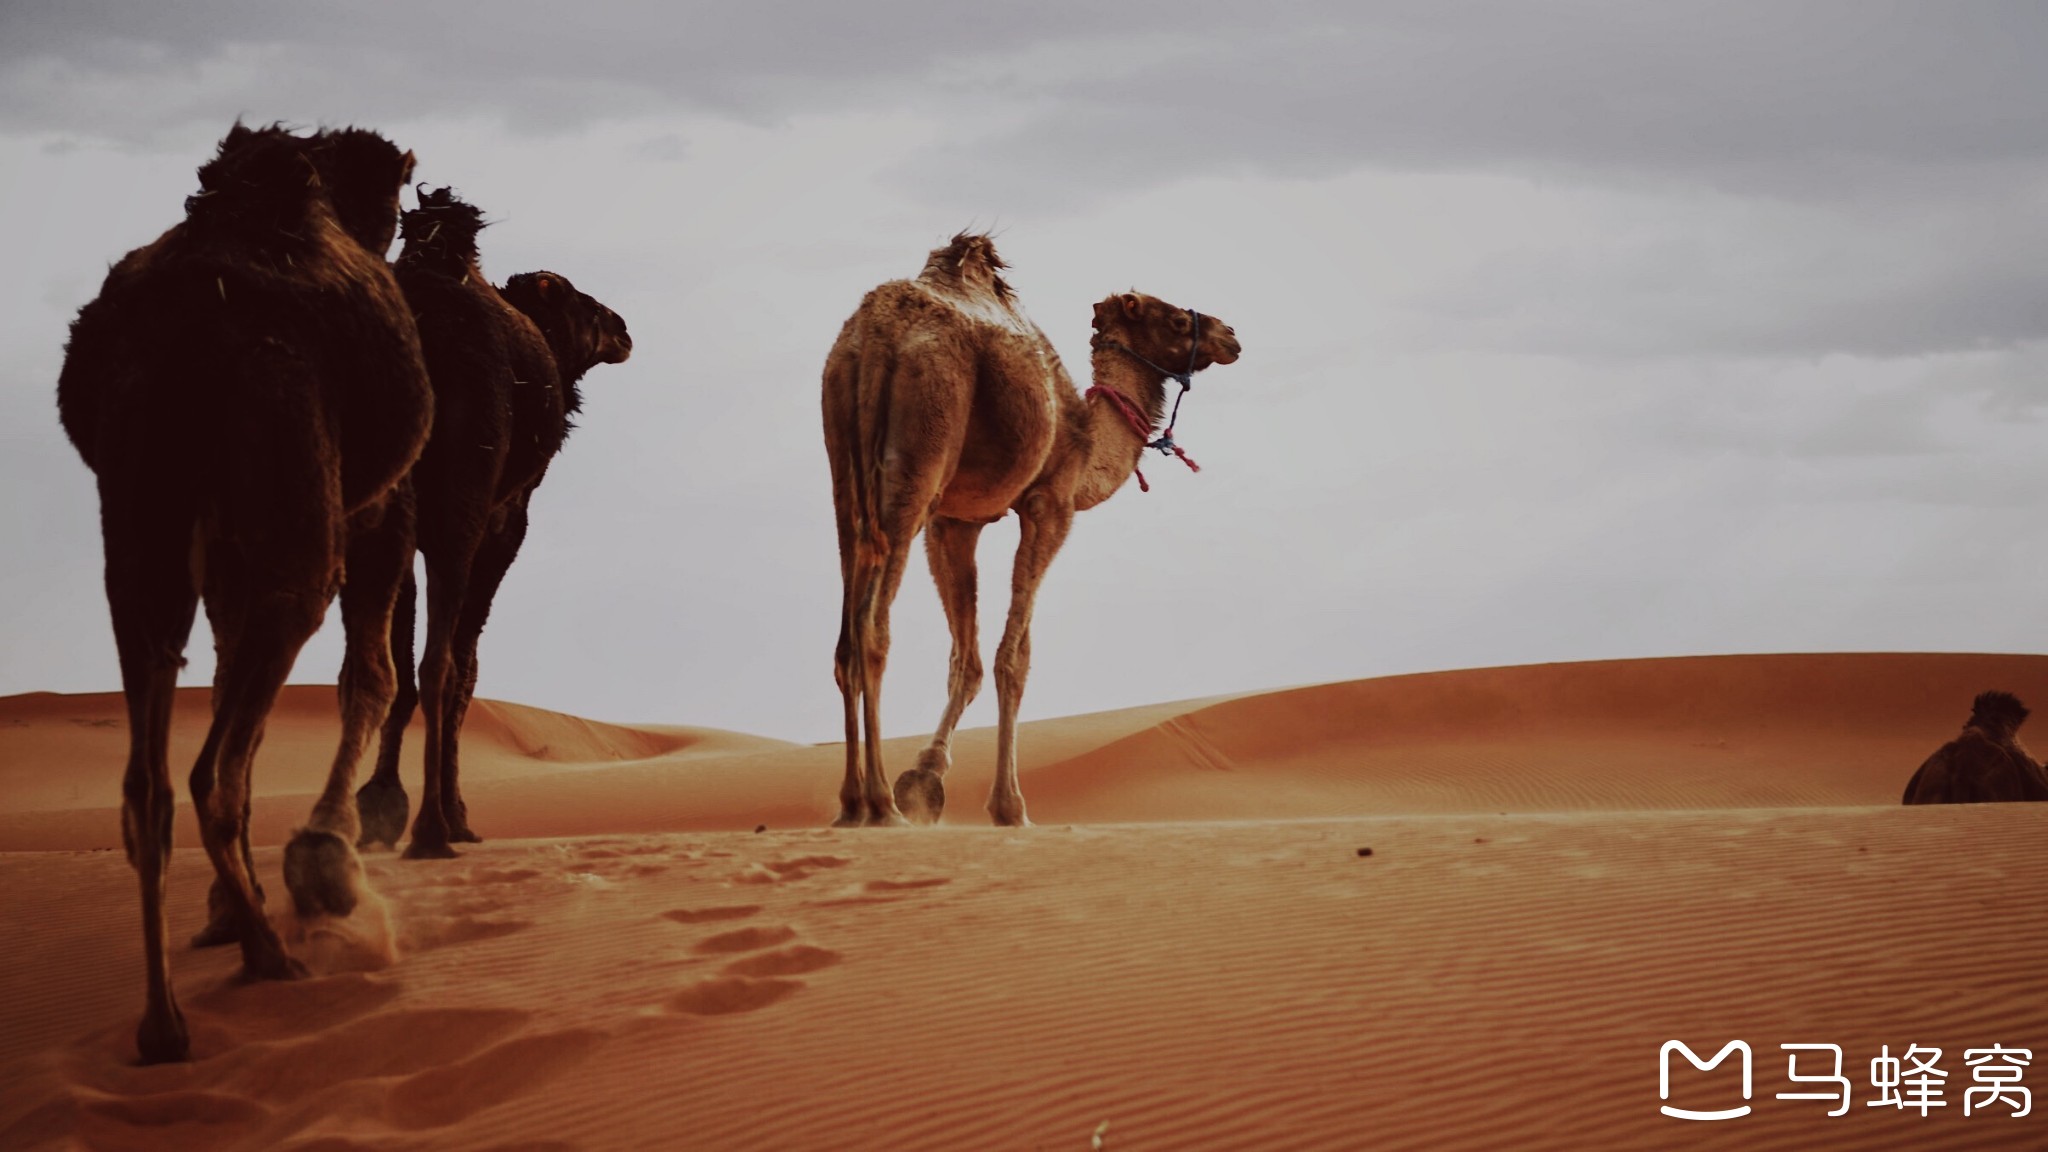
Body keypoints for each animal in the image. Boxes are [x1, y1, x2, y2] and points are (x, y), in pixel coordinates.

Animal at [58, 123, 430, 1057]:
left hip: (139, 527)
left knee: (148, 783)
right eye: (394, 209)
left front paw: (235, 903)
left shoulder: (224, 557)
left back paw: (165, 1022)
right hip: (299, 520)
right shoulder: (376, 516)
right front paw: (324, 856)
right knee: (208, 772)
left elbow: (241, 692)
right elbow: (368, 679)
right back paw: (270, 952)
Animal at [350, 186, 630, 852]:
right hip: (462, 504)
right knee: (439, 663)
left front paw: (382, 808)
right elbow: (464, 667)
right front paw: (456, 816)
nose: (624, 328)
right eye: (580, 301)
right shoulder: (506, 521)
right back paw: (432, 828)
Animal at [819, 235, 1236, 824]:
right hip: (919, 455)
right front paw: (1009, 806)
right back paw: (881, 805)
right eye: (1177, 320)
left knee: (844, 639)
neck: (1084, 439)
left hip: (843, 465)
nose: (1231, 335)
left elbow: (966, 660)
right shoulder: (1049, 504)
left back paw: (853, 803)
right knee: (872, 629)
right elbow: (1014, 659)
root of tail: (876, 337)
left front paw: (925, 780)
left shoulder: (956, 521)